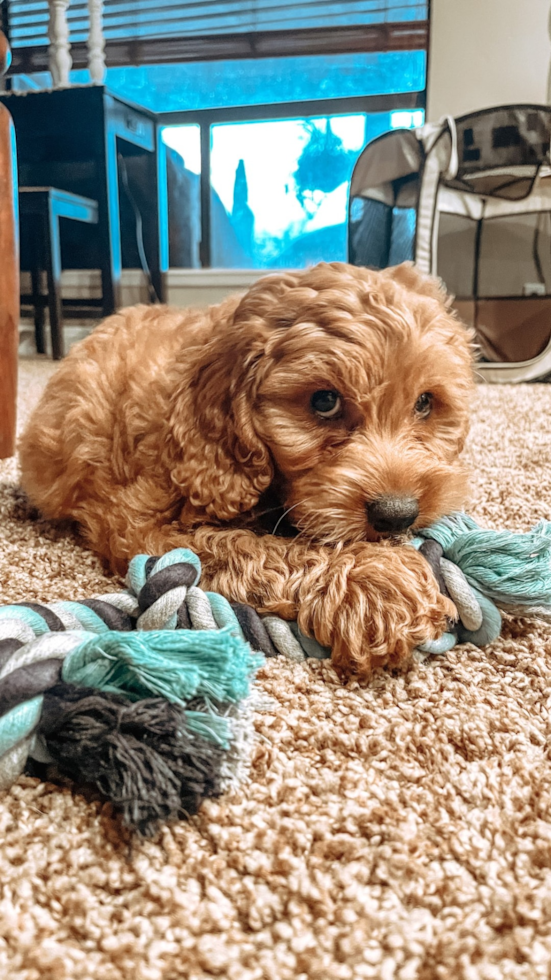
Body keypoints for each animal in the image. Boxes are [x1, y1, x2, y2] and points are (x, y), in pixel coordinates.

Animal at [18, 260, 474, 676]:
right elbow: (252, 548)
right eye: (324, 401)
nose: (397, 515)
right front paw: (376, 585)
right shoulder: (140, 525)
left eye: (425, 402)